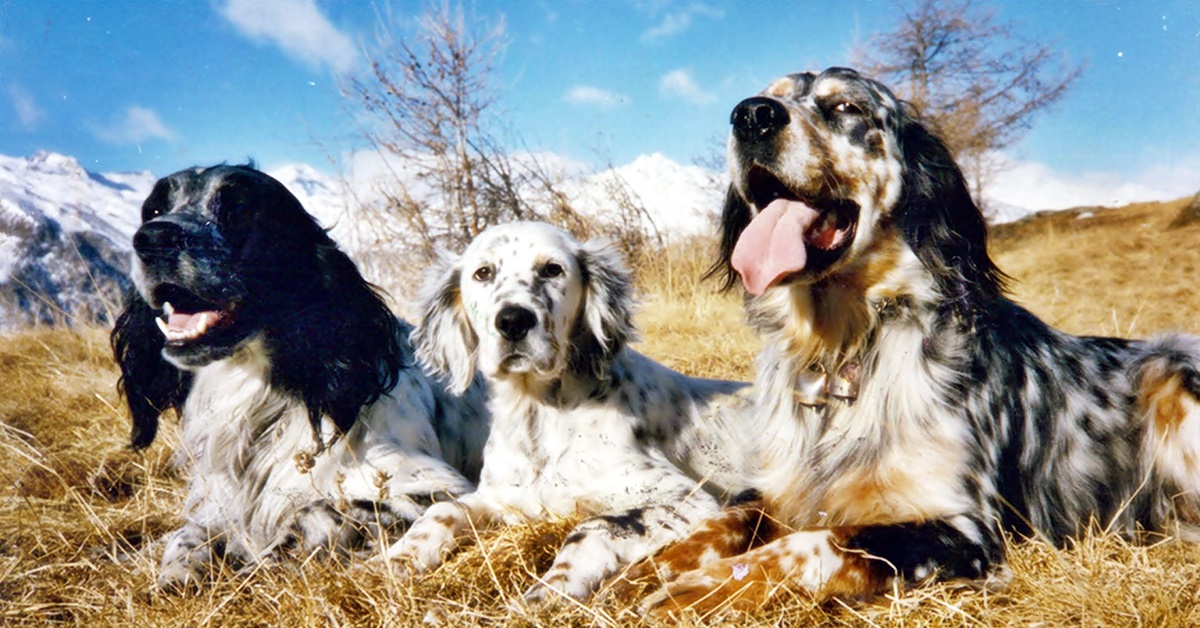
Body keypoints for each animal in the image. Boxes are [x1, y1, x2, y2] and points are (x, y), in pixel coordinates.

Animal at [111, 163, 487, 590]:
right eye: (154, 210)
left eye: (239, 208)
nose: (153, 239)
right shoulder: (220, 502)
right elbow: (189, 531)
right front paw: (176, 568)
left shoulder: (436, 488)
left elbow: (316, 512)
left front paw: (260, 560)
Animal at [384, 223, 753, 602]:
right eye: (483, 272)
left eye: (552, 269)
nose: (513, 321)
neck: (538, 417)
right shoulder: (504, 498)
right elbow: (443, 509)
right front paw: (395, 560)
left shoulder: (686, 498)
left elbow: (593, 525)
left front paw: (550, 589)